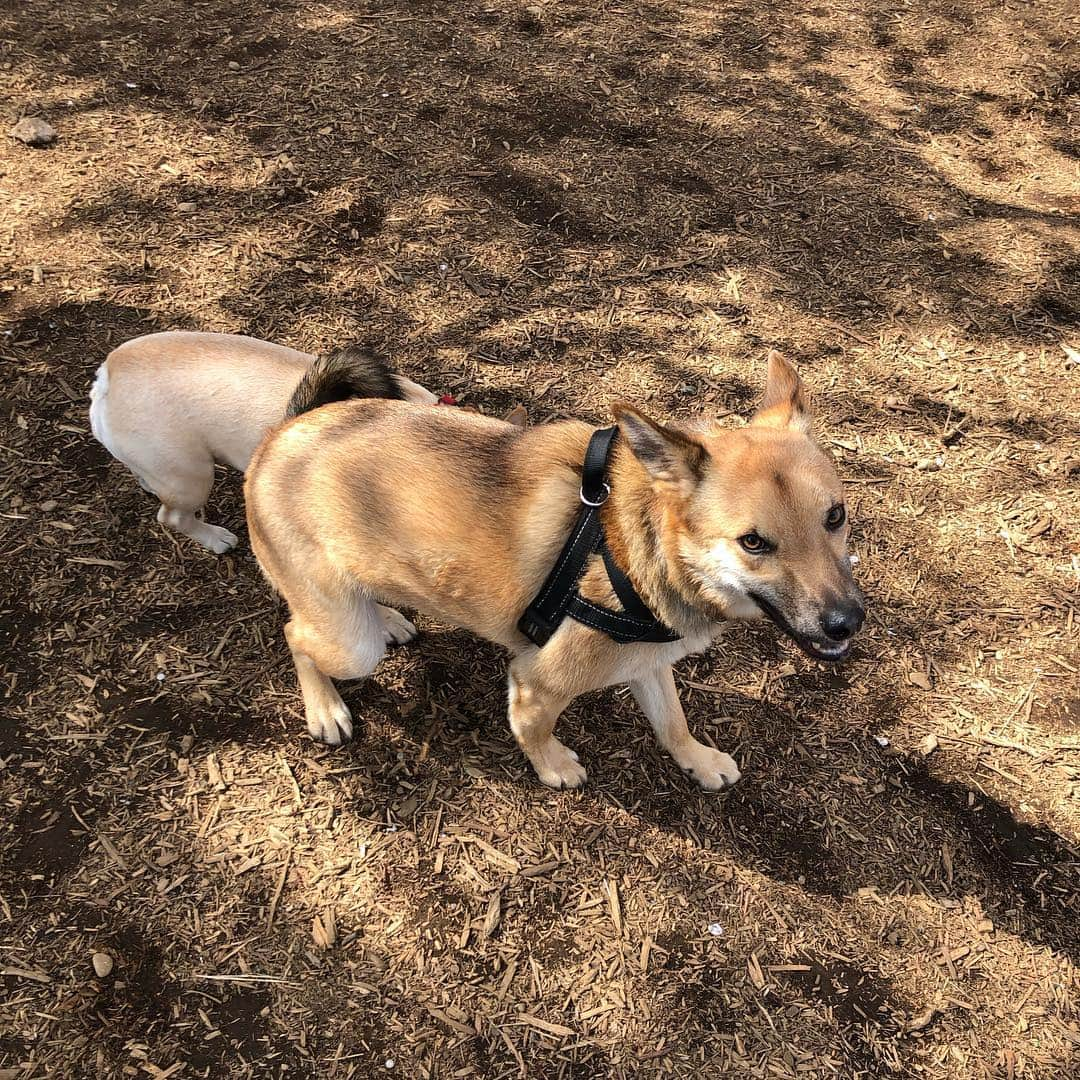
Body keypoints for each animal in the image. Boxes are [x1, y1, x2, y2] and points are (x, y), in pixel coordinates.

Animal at [245, 349, 859, 790]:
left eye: (836, 516)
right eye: (753, 542)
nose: (847, 622)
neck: (640, 544)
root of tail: (287, 429)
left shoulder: (648, 662)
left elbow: (673, 722)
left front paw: (699, 761)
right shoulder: (536, 681)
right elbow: (534, 727)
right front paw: (553, 765)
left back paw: (391, 618)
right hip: (350, 645)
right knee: (296, 633)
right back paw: (325, 708)